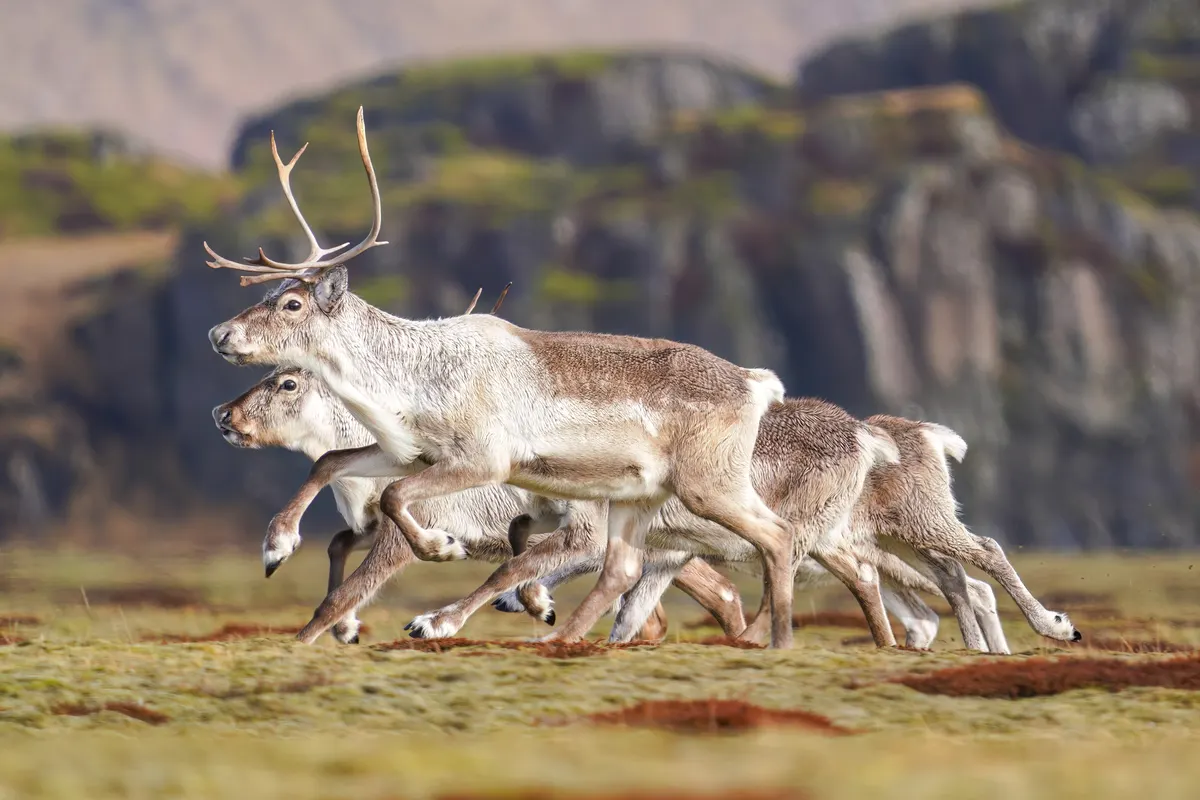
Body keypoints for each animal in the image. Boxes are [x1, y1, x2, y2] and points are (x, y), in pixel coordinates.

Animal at [204, 106, 807, 648]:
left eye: (292, 304)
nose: (218, 333)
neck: (411, 376)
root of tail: (757, 382)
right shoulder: (412, 451)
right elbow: (330, 462)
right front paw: (277, 546)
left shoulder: (481, 459)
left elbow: (394, 502)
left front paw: (442, 549)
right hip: (642, 494)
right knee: (627, 570)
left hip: (709, 484)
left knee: (777, 538)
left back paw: (776, 640)